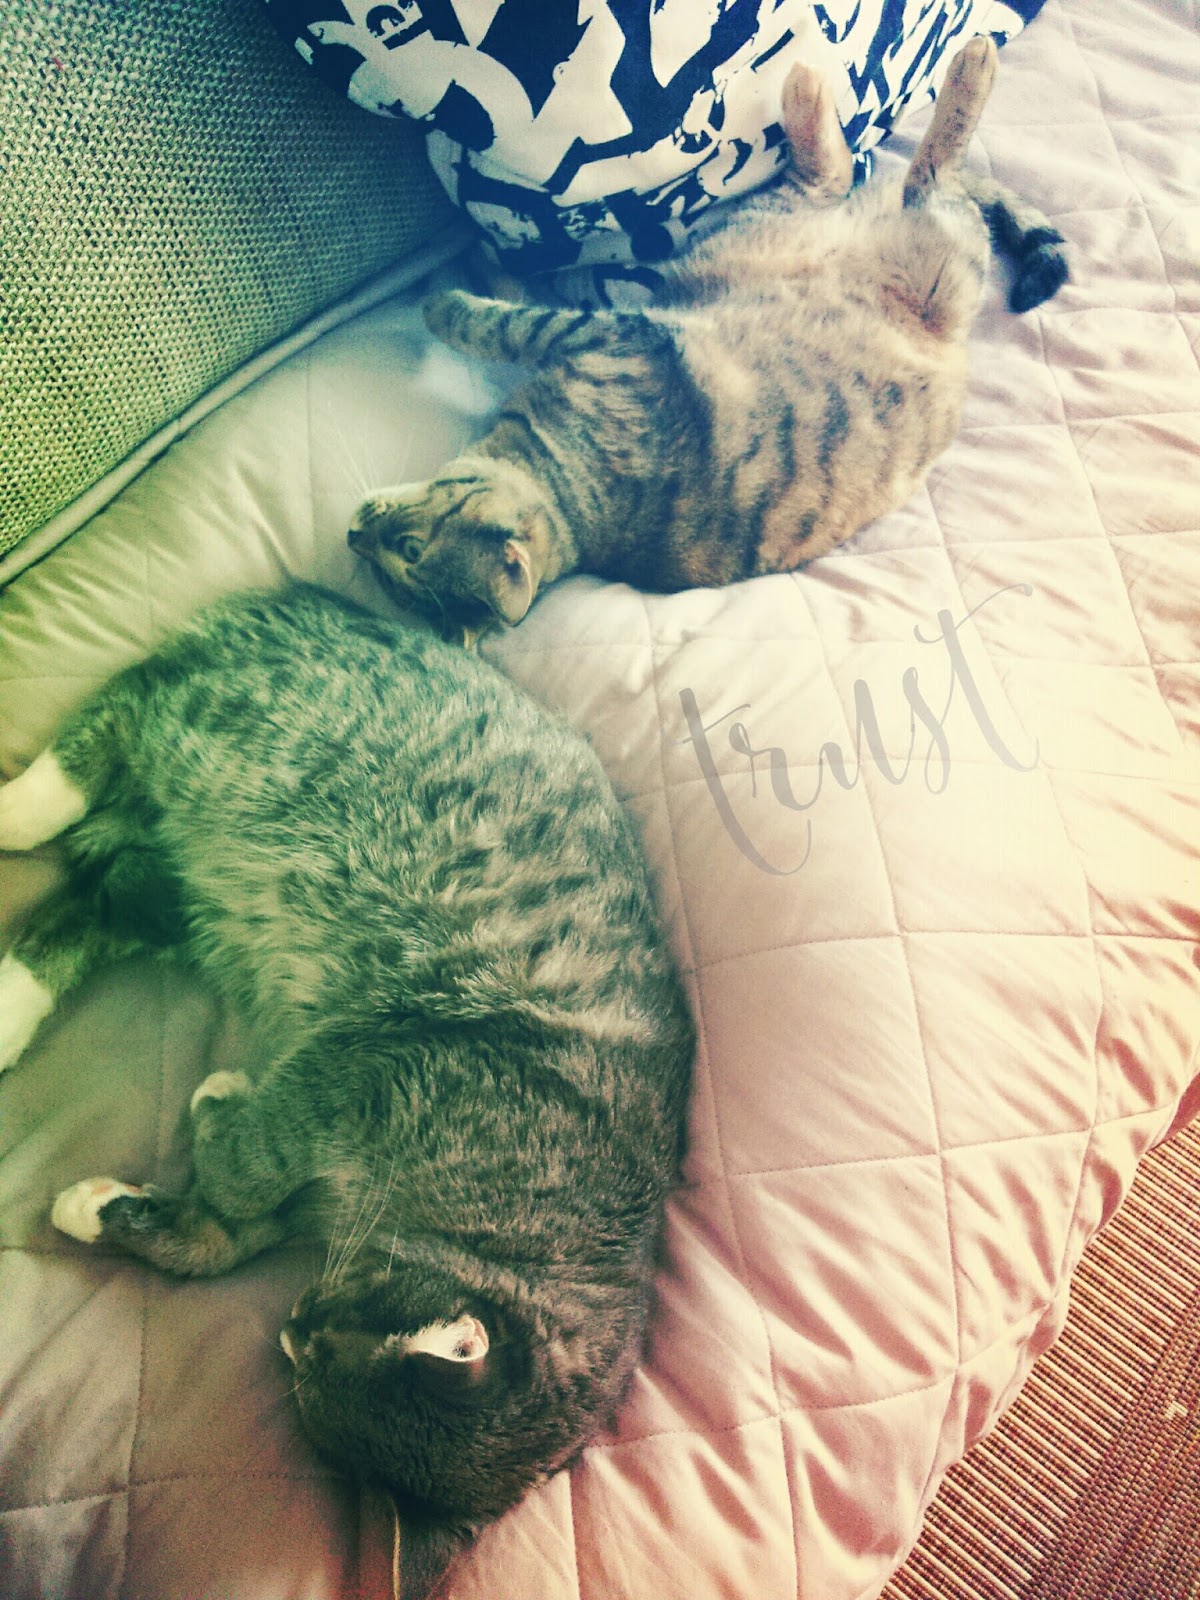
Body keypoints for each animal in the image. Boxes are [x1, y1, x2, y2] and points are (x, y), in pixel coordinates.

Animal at [0, 586, 694, 1600]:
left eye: (310, 1359)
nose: (289, 1327)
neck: (523, 1239)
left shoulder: (311, 1200)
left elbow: (215, 1240)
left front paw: (116, 1209)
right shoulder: (366, 1064)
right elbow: (250, 1161)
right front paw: (217, 1114)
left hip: (179, 885)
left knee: (92, 904)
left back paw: (7, 1010)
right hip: (237, 739)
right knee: (129, 706)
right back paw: (20, 806)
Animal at [347, 38, 1068, 635]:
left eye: (409, 550)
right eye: (386, 580)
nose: (353, 533)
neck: (575, 508)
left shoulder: (615, 336)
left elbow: (501, 321)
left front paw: (444, 301)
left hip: (926, 257)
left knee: (926, 171)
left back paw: (962, 64)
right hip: (758, 231)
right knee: (838, 176)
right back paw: (812, 91)